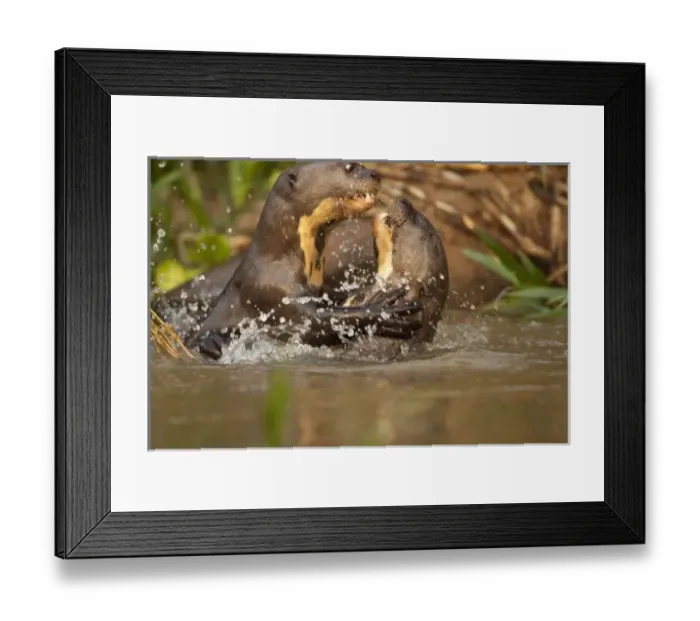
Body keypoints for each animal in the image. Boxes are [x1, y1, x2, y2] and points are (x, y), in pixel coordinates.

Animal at [187, 161, 423, 360]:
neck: (279, 263)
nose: (375, 174)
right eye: (349, 167)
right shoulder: (274, 294)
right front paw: (382, 311)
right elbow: (318, 320)